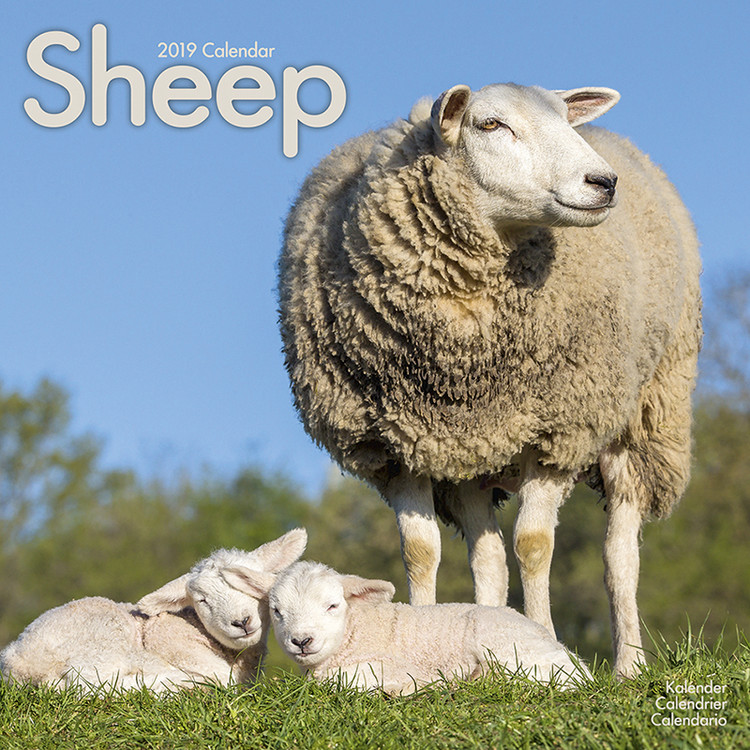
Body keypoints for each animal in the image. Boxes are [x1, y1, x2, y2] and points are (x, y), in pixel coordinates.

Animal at [0, 528, 307, 692]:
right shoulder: (178, 647)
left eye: (249, 583)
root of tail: (18, 659)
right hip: (104, 637)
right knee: (89, 683)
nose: (241, 621)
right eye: (202, 600)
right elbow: (220, 678)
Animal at [251, 560, 590, 694]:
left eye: (332, 606)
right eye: (277, 612)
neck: (357, 631)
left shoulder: (392, 666)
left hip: (506, 645)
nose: (301, 640)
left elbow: (334, 680)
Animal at [277, 82, 702, 679]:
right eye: (491, 124)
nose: (604, 182)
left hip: (640, 416)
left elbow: (535, 545)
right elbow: (421, 552)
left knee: (619, 551)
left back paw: (628, 667)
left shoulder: (558, 431)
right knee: (489, 558)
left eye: (562, 117)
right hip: (472, 460)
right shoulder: (401, 447)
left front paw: (547, 641)